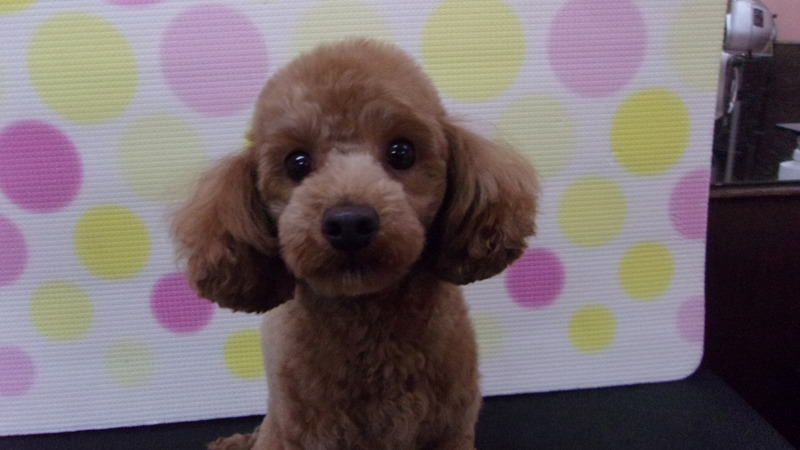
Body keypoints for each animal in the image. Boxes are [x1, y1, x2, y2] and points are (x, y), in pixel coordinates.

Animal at [172, 39, 538, 449]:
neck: (367, 320)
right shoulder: (297, 433)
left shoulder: (449, 431)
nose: (349, 223)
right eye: (297, 162)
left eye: (401, 152)